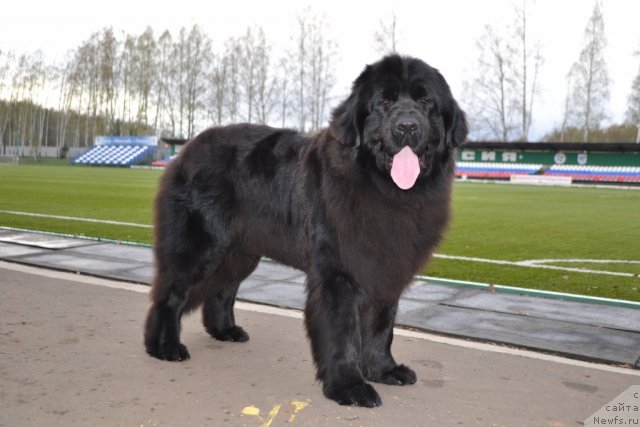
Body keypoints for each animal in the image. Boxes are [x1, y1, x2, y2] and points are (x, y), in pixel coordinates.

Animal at [144, 54, 464, 408]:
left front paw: (384, 369)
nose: (407, 126)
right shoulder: (338, 273)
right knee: (171, 294)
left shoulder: (387, 266)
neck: (382, 188)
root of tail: (185, 150)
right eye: (384, 102)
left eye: (425, 102)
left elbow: (382, 324)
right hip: (202, 246)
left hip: (240, 252)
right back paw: (164, 347)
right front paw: (350, 386)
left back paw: (225, 331)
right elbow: (343, 331)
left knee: (221, 290)